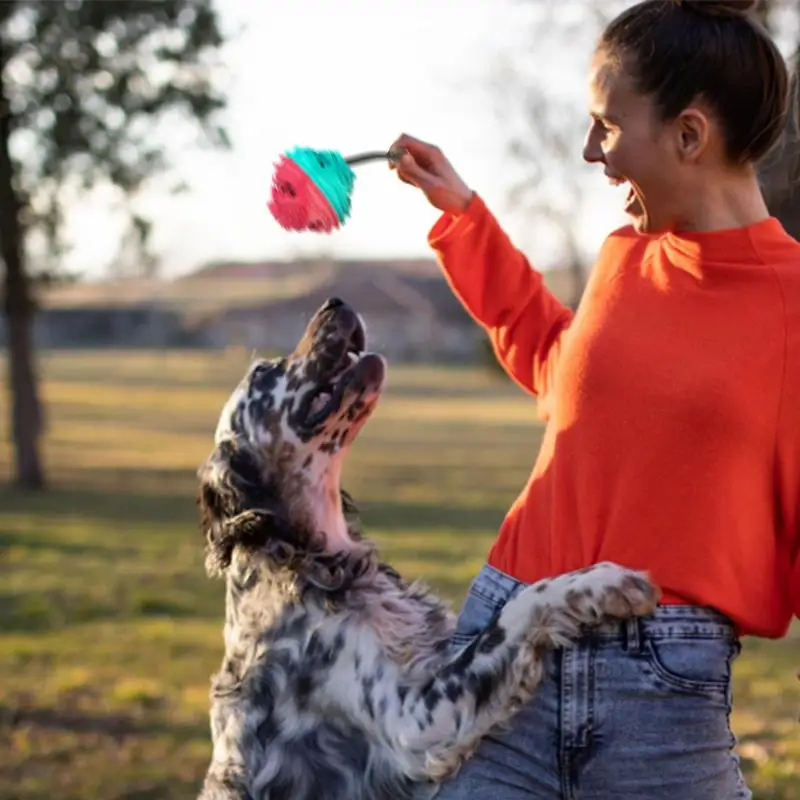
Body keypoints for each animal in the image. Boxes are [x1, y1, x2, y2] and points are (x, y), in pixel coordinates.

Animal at [197, 296, 660, 796]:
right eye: (264, 372)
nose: (335, 302)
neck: (305, 560)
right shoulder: (413, 721)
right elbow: (517, 609)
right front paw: (604, 583)